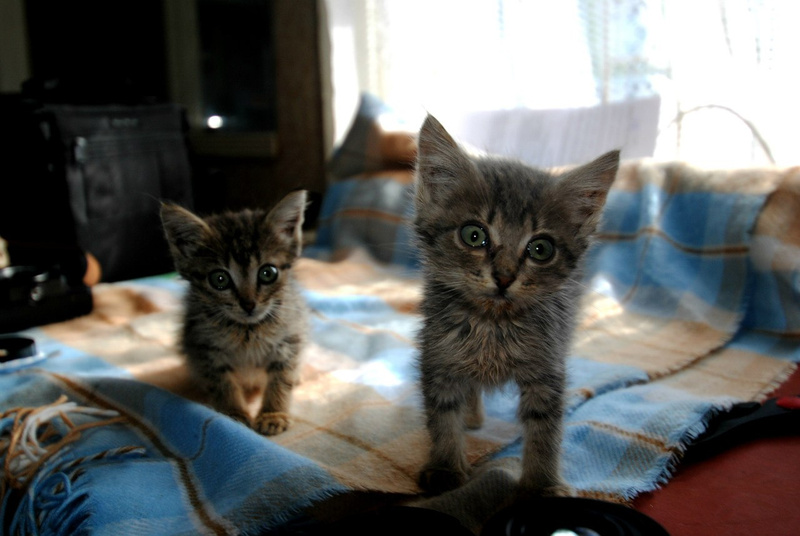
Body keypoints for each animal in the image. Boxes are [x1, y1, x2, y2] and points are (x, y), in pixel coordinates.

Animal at [160, 190, 309, 435]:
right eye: (219, 279)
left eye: (268, 273)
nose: (249, 304)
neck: (248, 330)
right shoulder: (204, 348)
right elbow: (222, 382)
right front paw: (233, 414)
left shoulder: (289, 341)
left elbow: (281, 378)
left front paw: (273, 414)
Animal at [413, 115, 618, 496]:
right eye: (473, 235)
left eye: (541, 249)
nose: (505, 277)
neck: (493, 324)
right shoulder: (439, 356)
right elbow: (443, 417)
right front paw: (446, 466)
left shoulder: (547, 369)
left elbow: (544, 431)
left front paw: (541, 485)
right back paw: (472, 415)